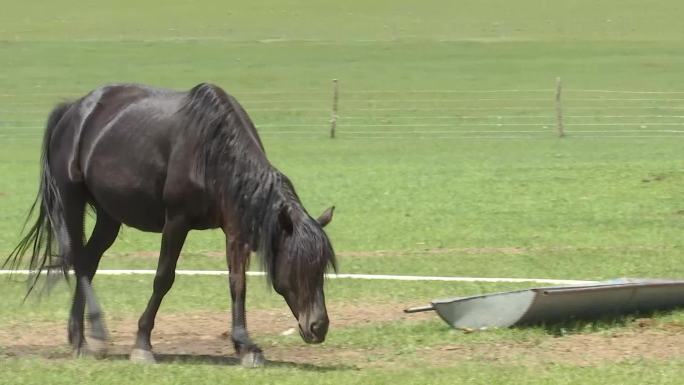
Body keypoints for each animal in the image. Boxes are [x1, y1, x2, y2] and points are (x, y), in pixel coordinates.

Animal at [4, 83, 336, 366]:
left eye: (321, 267)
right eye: (298, 266)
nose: (318, 327)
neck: (212, 150)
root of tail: (72, 110)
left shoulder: (234, 228)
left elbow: (237, 283)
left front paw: (245, 346)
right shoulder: (176, 222)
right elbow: (163, 278)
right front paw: (142, 345)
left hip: (109, 216)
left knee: (87, 261)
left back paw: (79, 337)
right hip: (72, 201)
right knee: (76, 259)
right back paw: (94, 334)